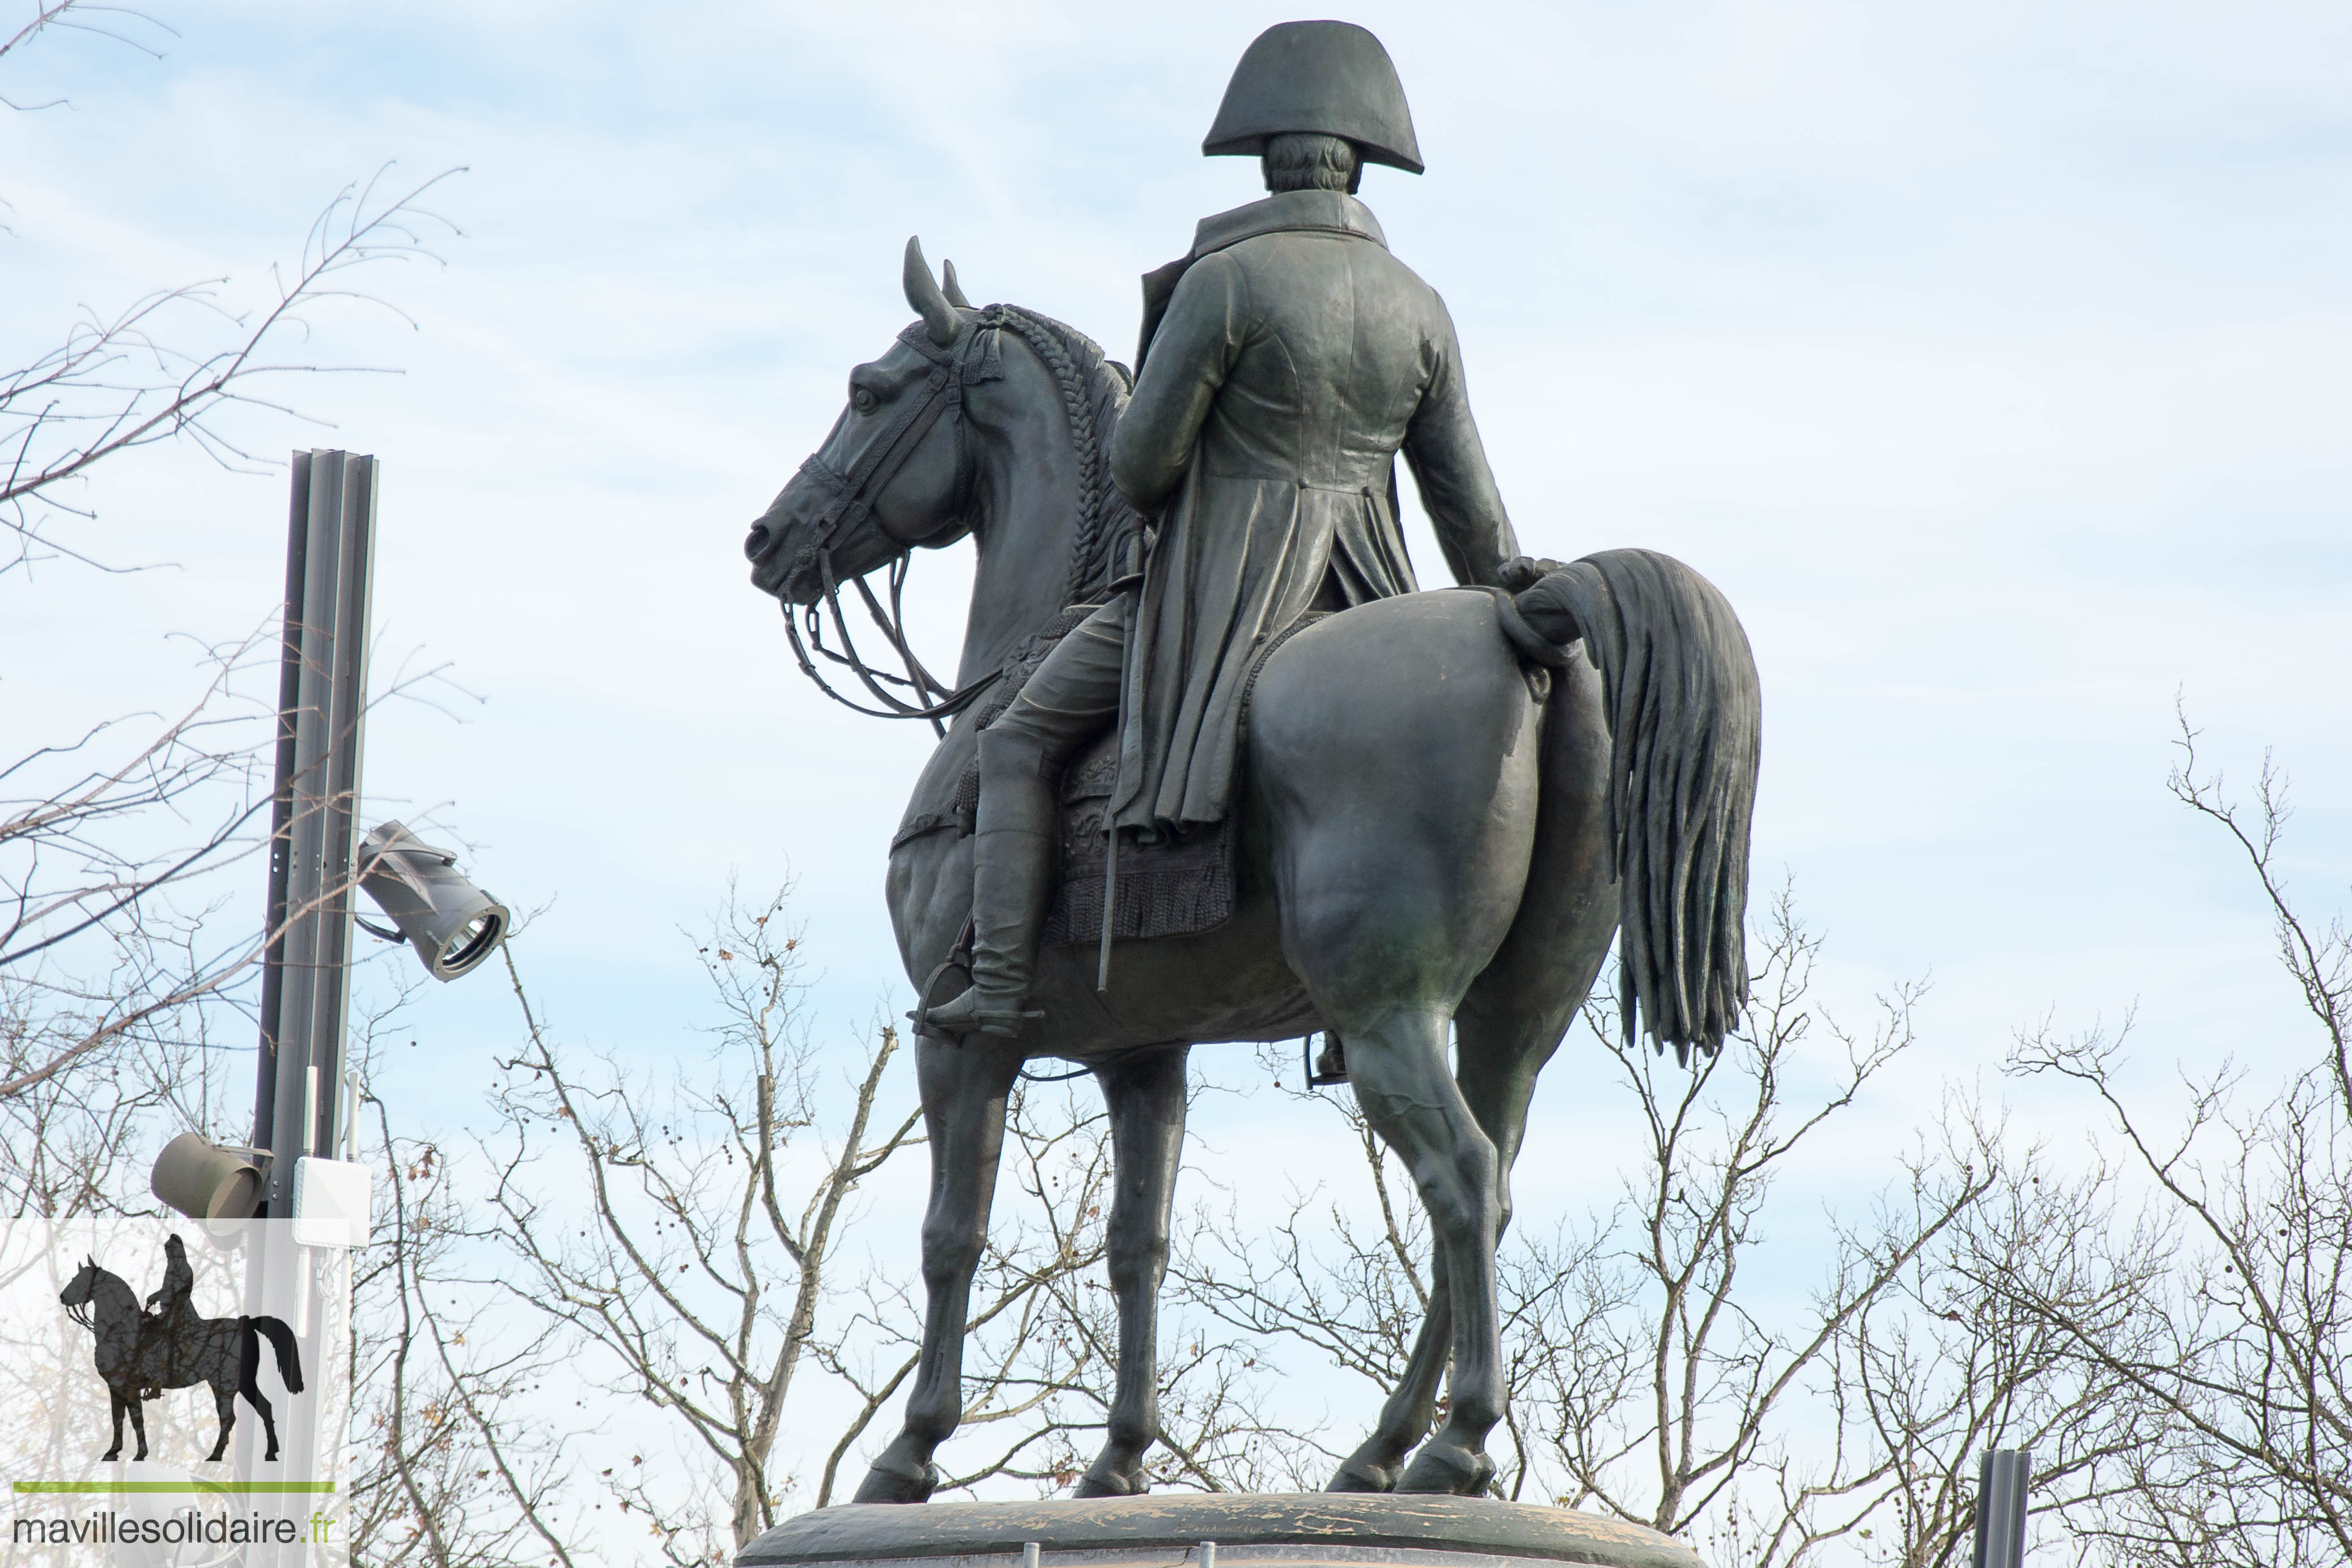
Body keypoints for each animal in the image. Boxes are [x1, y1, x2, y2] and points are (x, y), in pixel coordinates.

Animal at [62, 1260, 305, 1467]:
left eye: (80, 1280)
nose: (63, 1298)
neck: (122, 1331)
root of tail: (245, 1323)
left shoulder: (129, 1387)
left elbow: (136, 1420)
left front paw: (140, 1454)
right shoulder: (116, 1388)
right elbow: (118, 1419)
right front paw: (113, 1452)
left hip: (225, 1385)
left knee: (229, 1418)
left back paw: (216, 1456)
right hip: (240, 1384)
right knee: (262, 1409)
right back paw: (268, 1453)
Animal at [743, 240, 1759, 1504]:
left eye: (869, 389)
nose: (768, 540)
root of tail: (1525, 624)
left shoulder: (960, 1040)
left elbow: (951, 1234)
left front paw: (911, 1451)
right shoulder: (1142, 1054)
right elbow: (1138, 1243)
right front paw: (1119, 1460)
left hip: (1384, 1010)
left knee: (1462, 1175)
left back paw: (1456, 1439)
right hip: (1516, 1014)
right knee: (1494, 1176)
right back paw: (1384, 1450)